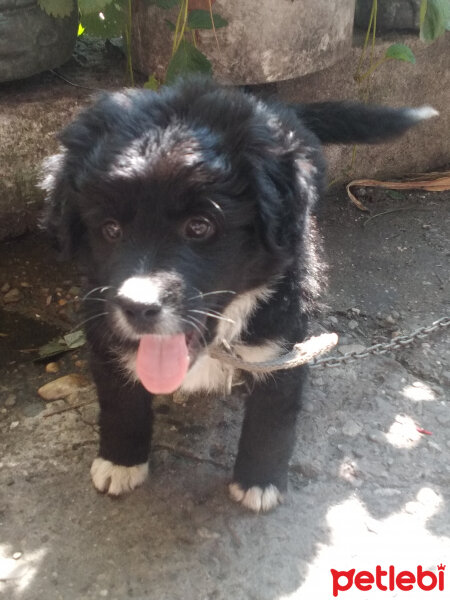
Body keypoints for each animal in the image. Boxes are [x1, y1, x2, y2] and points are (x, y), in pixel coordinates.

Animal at [41, 77, 436, 510]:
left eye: (199, 226)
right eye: (110, 229)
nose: (137, 307)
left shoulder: (284, 343)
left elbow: (273, 416)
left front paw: (259, 481)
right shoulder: (104, 331)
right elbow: (120, 403)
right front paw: (121, 462)